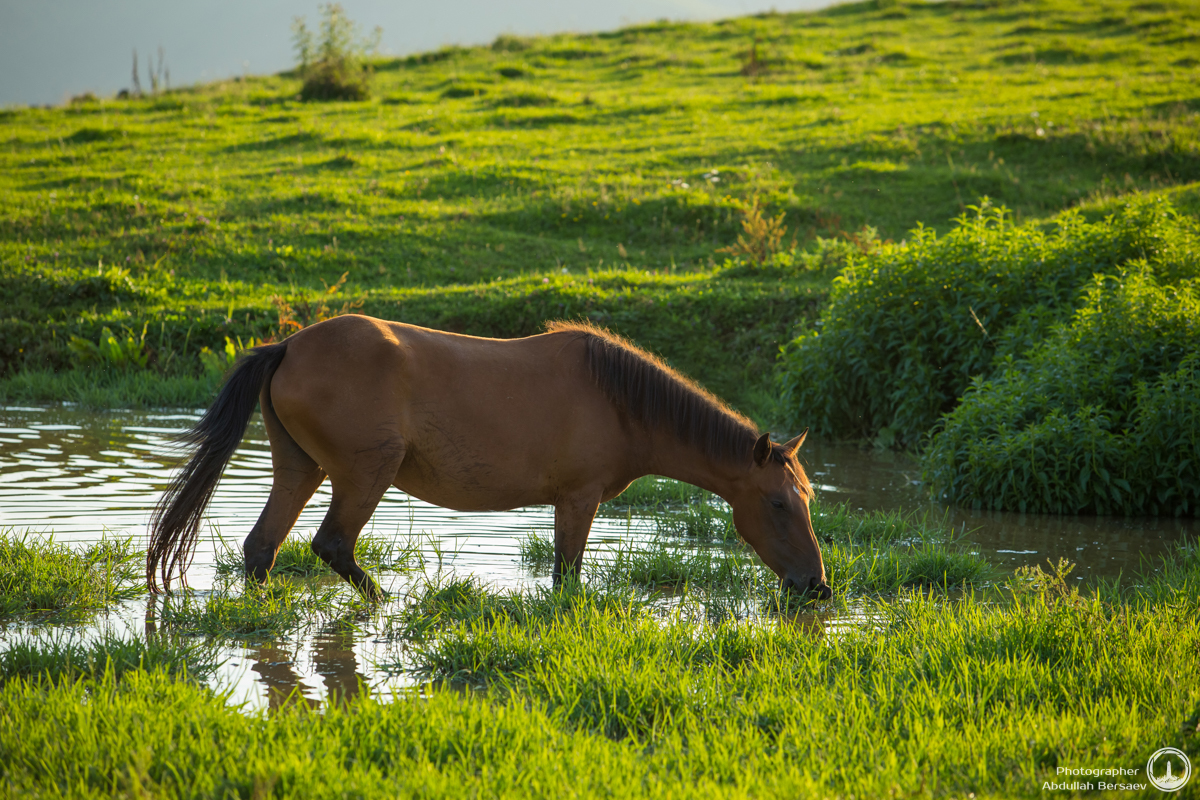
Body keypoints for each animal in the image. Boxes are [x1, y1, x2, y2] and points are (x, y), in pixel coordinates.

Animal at [145, 311, 830, 599]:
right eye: (777, 504)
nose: (817, 586)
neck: (620, 400)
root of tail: (288, 346)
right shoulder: (577, 499)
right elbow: (566, 574)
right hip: (365, 474)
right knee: (332, 544)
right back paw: (385, 603)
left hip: (300, 468)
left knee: (261, 549)